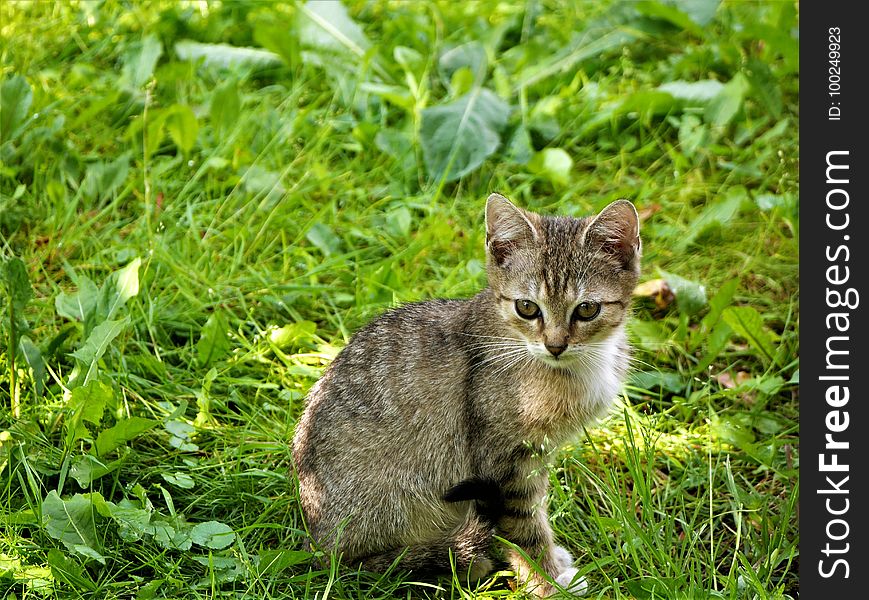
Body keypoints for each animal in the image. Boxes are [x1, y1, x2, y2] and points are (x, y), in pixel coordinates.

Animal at [294, 193, 640, 596]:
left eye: (587, 309)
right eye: (527, 307)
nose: (555, 346)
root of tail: (317, 542)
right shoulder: (503, 464)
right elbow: (525, 531)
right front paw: (549, 583)